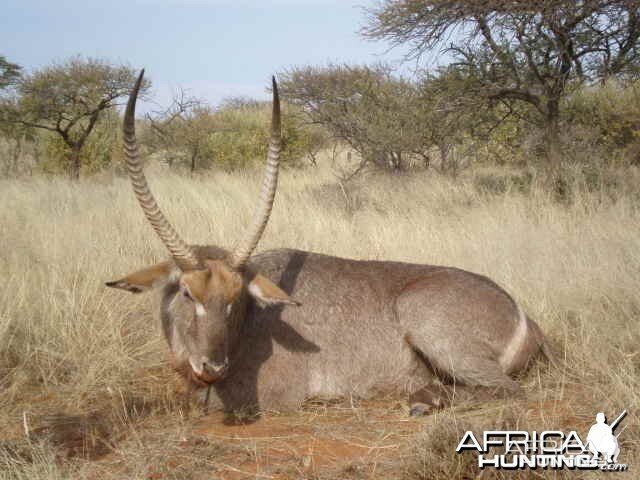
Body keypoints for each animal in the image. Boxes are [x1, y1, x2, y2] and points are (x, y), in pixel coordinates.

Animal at [107, 70, 552, 416]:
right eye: (186, 292)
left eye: (237, 298)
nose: (213, 366)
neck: (251, 322)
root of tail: (521, 314)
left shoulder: (265, 393)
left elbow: (195, 401)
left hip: (427, 322)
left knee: (509, 391)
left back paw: (423, 401)